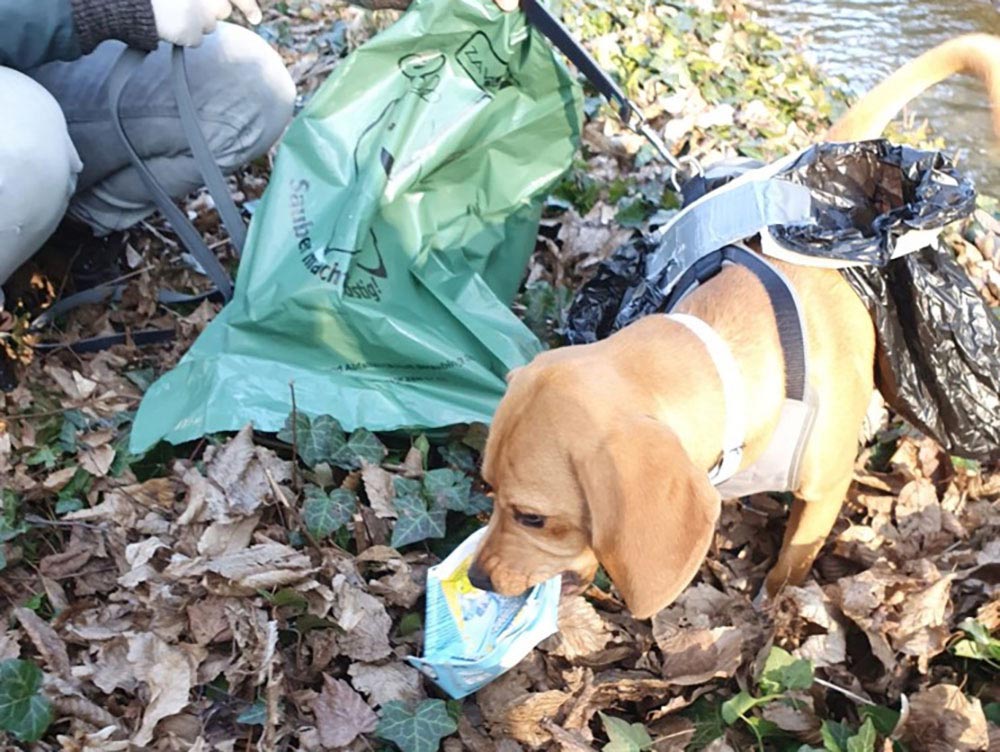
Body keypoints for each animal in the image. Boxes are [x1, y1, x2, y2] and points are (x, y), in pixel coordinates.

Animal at [466, 33, 1000, 616]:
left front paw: (771, 605)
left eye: (533, 517)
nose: (476, 578)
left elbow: (793, 561)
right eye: (487, 487)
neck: (724, 355)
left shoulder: (824, 491)